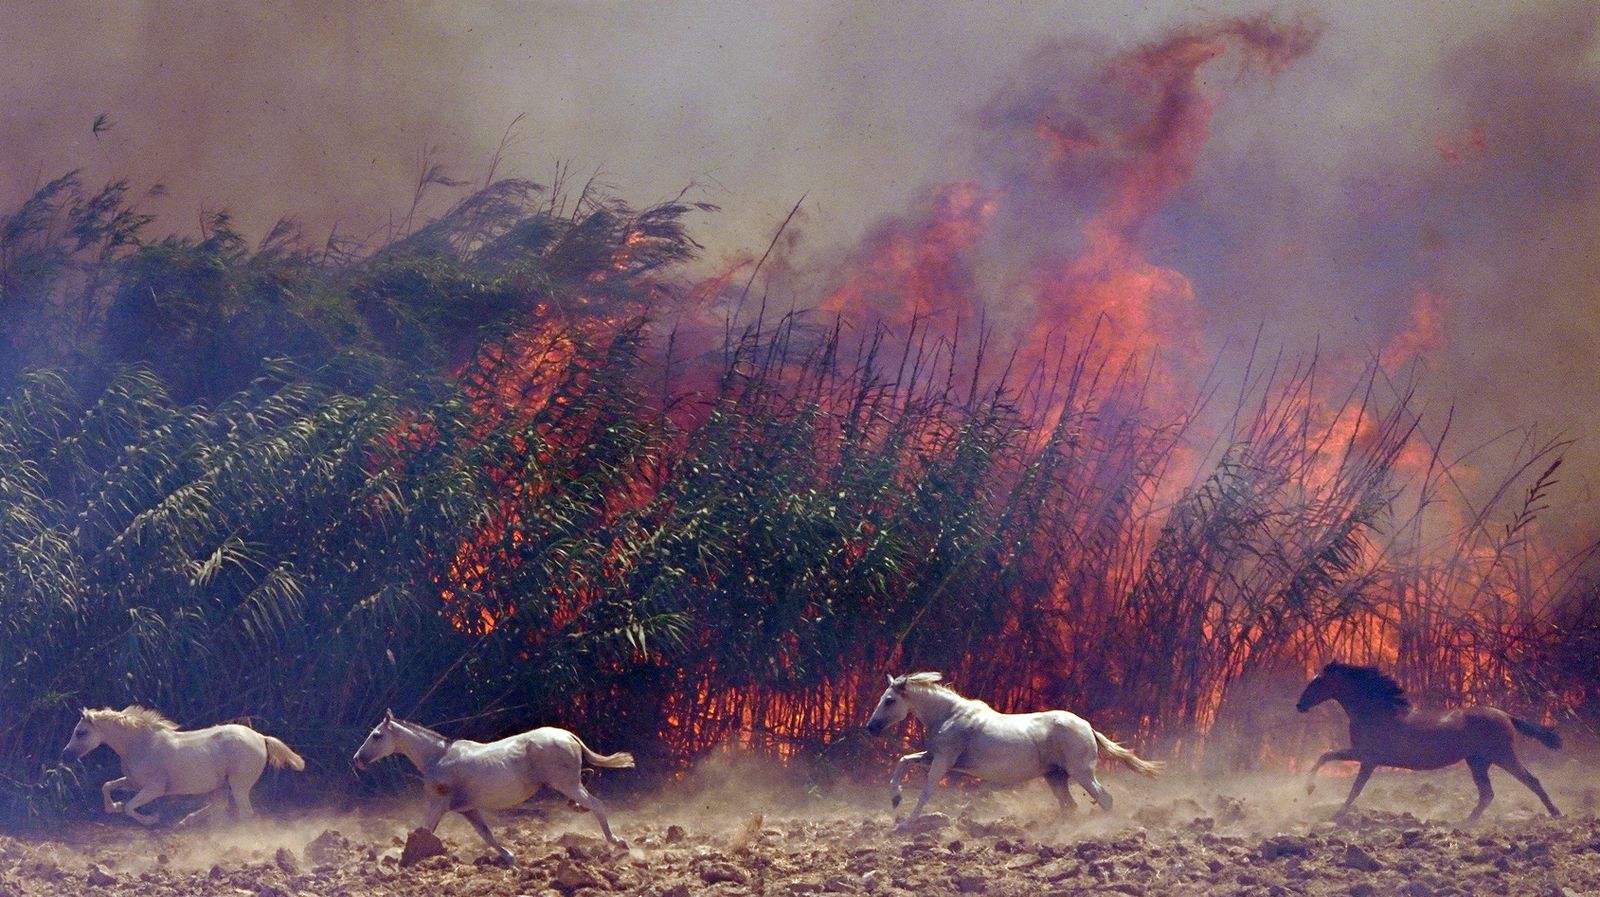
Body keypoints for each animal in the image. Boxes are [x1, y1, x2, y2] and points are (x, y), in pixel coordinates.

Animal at [58, 705, 306, 826]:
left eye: (81, 732)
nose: (65, 755)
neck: (141, 743)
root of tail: (261, 737)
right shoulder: (133, 782)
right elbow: (107, 786)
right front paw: (114, 807)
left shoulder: (154, 789)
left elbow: (129, 807)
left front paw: (152, 819)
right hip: (224, 784)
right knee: (220, 804)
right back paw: (185, 822)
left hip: (239, 784)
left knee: (245, 813)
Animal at [352, 709, 634, 862]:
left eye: (376, 736)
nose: (357, 760)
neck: (438, 757)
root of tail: (567, 734)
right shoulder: (467, 809)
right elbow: (487, 836)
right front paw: (511, 858)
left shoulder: (439, 803)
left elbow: (424, 831)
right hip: (567, 783)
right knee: (588, 782)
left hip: (565, 783)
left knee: (597, 804)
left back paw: (617, 841)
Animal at [863, 673, 1161, 829]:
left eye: (889, 700)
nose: (871, 728)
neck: (950, 715)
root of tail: (1088, 726)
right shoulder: (932, 757)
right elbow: (902, 761)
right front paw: (895, 799)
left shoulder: (942, 761)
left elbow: (926, 792)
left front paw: (905, 824)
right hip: (1056, 776)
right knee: (1070, 805)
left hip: (1081, 773)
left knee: (1105, 798)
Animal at [1297, 662, 1562, 822]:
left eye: (1318, 681)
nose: (1300, 705)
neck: (1376, 712)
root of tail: (1505, 715)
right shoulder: (1364, 756)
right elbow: (1329, 759)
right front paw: (1313, 793)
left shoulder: (1367, 757)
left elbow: (1350, 782)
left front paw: (1328, 806)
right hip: (1478, 762)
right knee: (1487, 794)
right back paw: (1464, 822)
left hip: (1502, 756)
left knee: (1531, 780)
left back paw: (1556, 813)